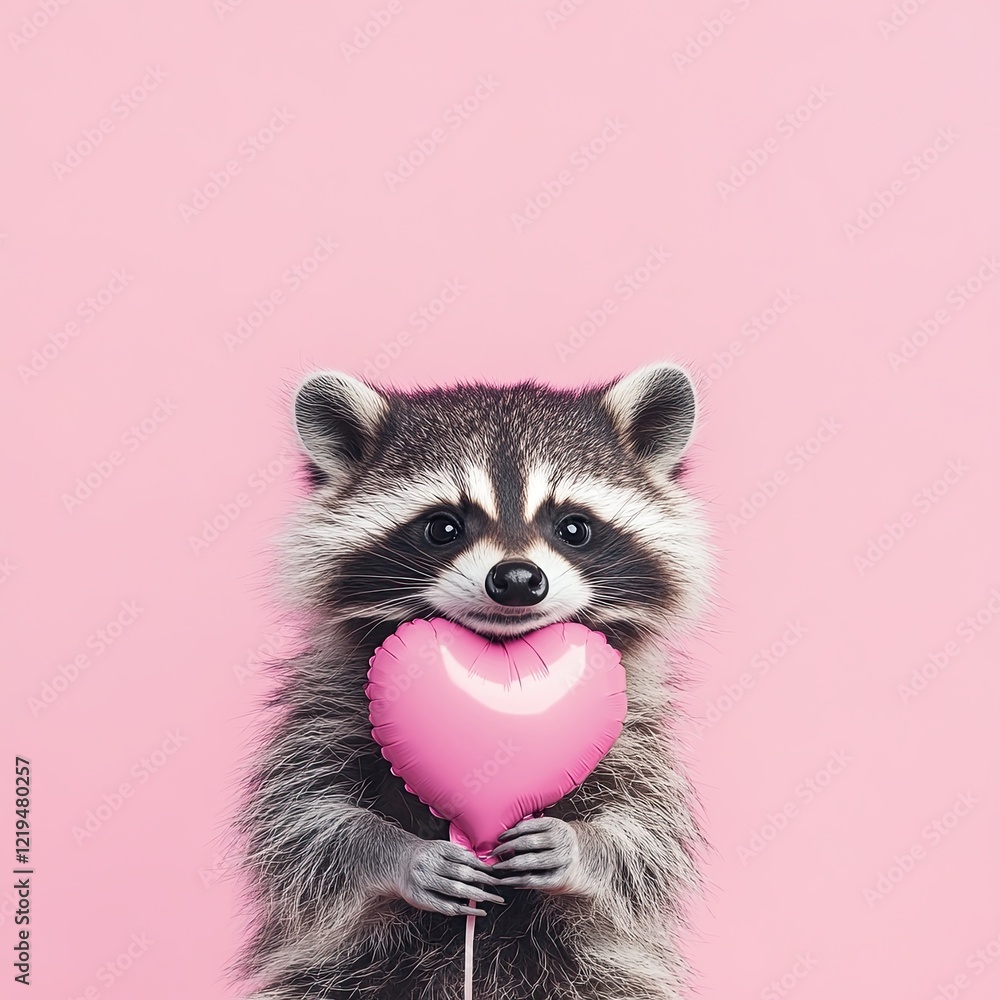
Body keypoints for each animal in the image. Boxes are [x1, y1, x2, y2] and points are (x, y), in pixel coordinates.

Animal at [234, 362, 712, 1000]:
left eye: (574, 527)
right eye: (443, 527)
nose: (516, 580)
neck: (500, 654)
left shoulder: (635, 727)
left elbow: (647, 832)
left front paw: (580, 849)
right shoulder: (327, 708)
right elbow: (303, 821)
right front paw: (397, 854)